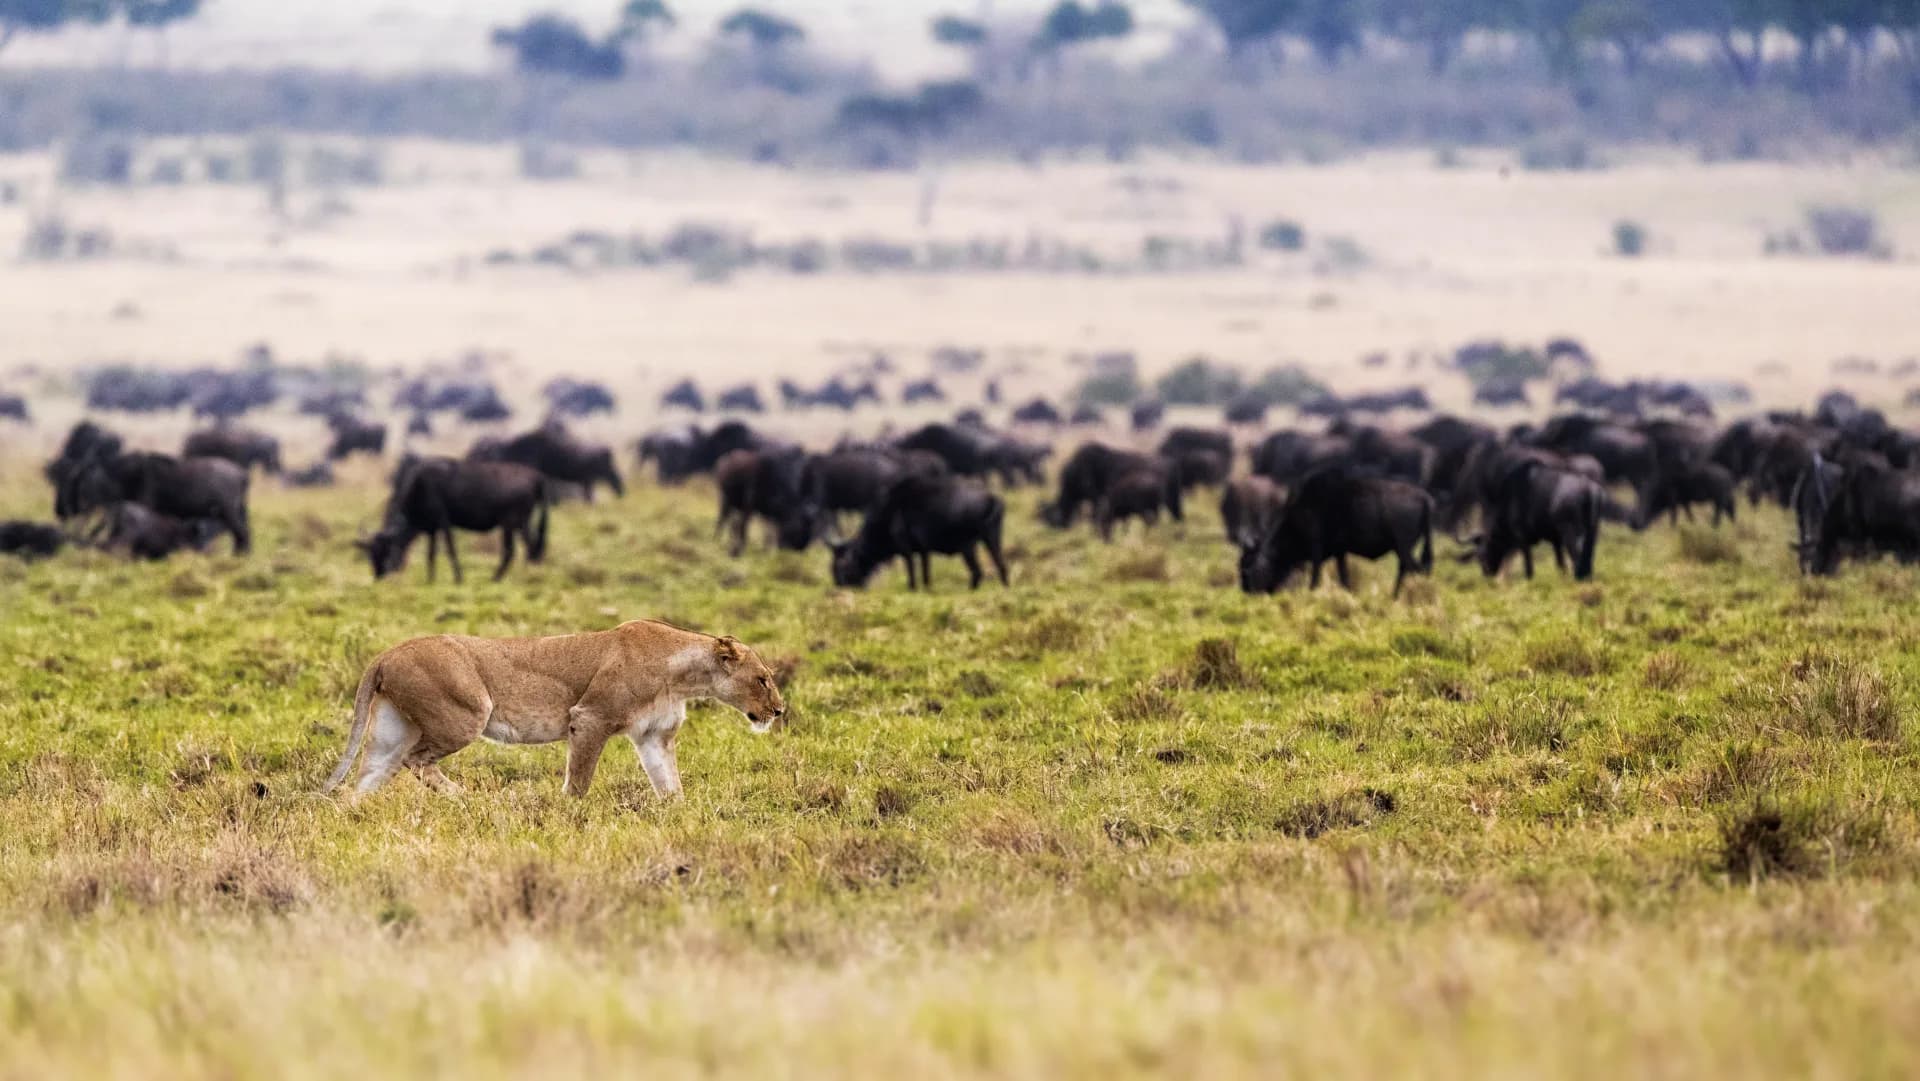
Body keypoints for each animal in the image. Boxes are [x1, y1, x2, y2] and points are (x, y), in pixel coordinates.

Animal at [321, 619, 785, 799]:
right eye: (763, 679)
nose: (780, 711)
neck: (682, 676)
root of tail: (386, 654)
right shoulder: (590, 718)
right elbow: (578, 781)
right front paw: (569, 813)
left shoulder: (655, 736)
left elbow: (670, 785)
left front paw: (679, 813)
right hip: (466, 713)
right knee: (416, 761)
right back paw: (465, 798)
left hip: (391, 728)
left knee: (372, 772)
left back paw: (354, 812)